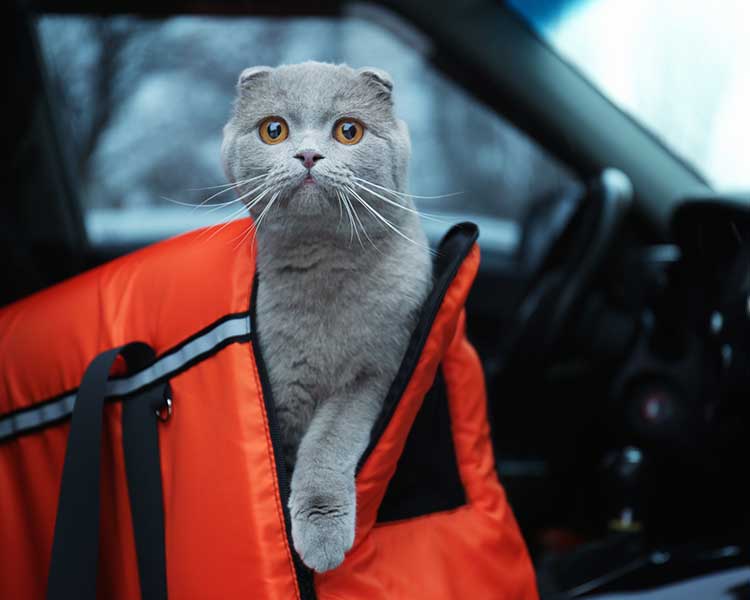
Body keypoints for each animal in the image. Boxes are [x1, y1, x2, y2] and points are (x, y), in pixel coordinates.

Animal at [222, 61, 434, 572]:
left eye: (348, 131)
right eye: (273, 130)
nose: (308, 154)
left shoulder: (374, 373)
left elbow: (327, 442)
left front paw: (321, 533)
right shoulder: (279, 387)